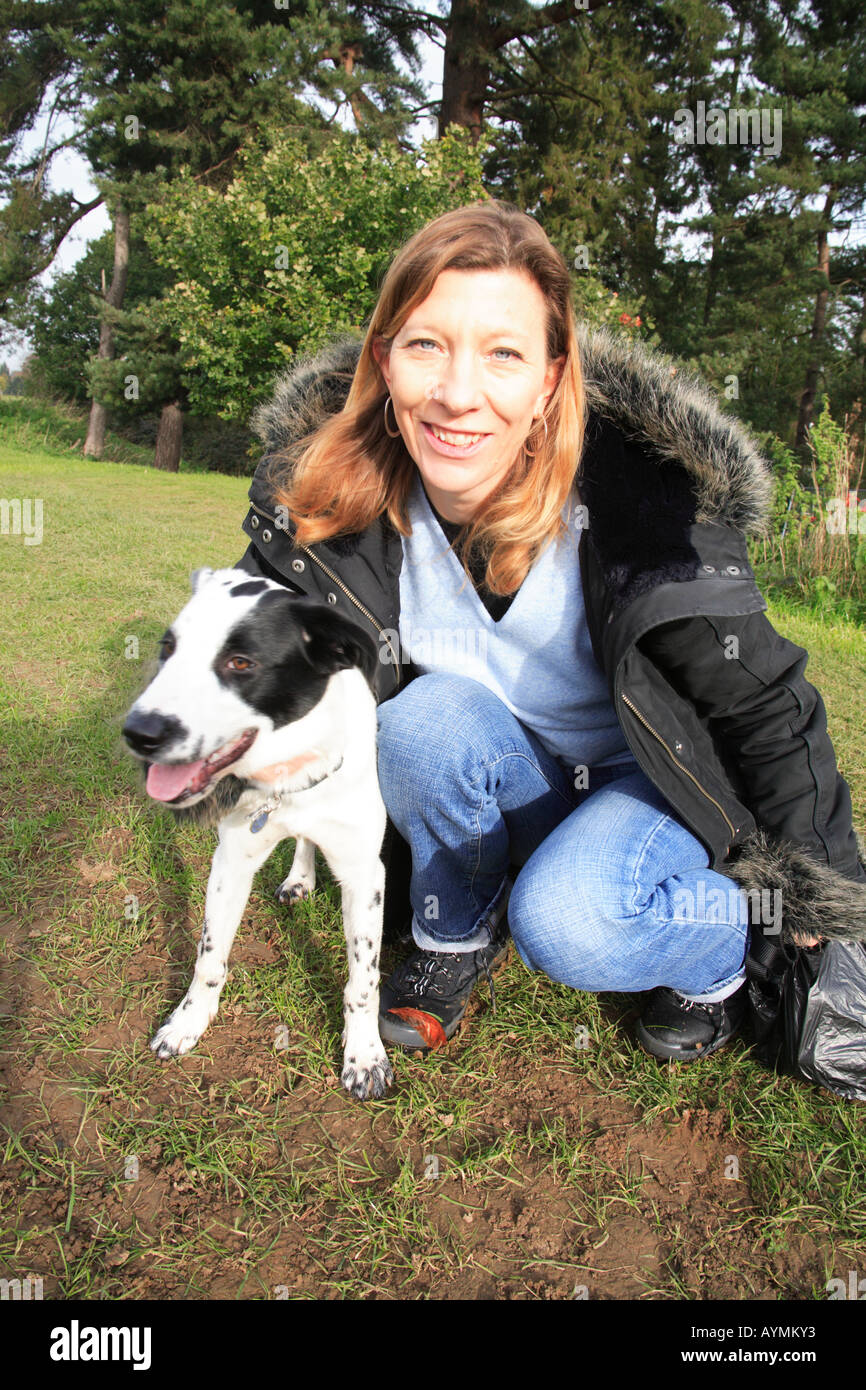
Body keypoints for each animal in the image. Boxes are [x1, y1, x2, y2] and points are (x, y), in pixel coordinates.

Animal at [122, 564, 391, 1095]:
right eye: (168, 648)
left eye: (241, 663)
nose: (139, 733)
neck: (284, 776)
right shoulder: (230, 863)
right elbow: (209, 956)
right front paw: (188, 1022)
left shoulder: (365, 876)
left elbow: (363, 980)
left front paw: (365, 1055)